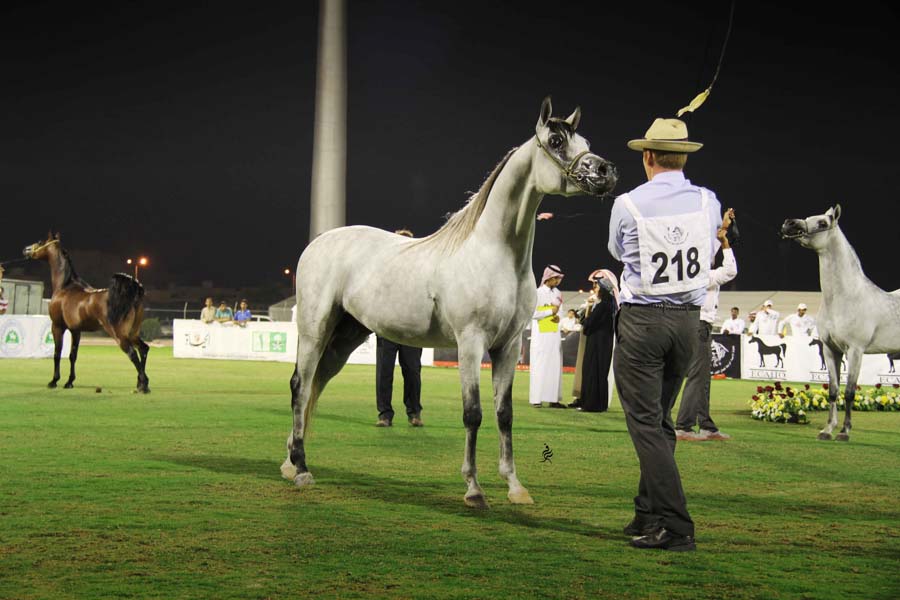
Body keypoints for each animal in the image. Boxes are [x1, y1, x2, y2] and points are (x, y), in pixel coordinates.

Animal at [23, 233, 150, 393]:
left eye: (41, 242)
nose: (26, 250)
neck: (65, 287)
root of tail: (132, 295)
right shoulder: (76, 330)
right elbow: (73, 355)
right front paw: (69, 382)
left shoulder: (57, 327)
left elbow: (57, 353)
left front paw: (54, 381)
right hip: (132, 333)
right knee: (143, 349)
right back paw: (141, 384)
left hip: (120, 335)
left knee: (132, 353)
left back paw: (143, 385)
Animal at [280, 97, 617, 507]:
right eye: (555, 141)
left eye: (583, 140)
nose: (605, 171)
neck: (495, 254)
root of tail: (317, 244)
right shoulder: (470, 343)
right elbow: (473, 413)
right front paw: (473, 489)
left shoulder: (508, 346)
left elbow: (504, 413)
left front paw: (515, 486)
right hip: (315, 328)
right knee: (300, 385)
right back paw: (301, 468)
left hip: (345, 336)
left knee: (314, 384)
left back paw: (290, 463)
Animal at [782, 205, 900, 441]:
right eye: (809, 217)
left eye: (823, 223)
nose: (789, 224)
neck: (845, 297)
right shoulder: (831, 350)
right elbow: (833, 391)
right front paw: (827, 430)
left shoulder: (855, 351)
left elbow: (850, 392)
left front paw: (844, 432)